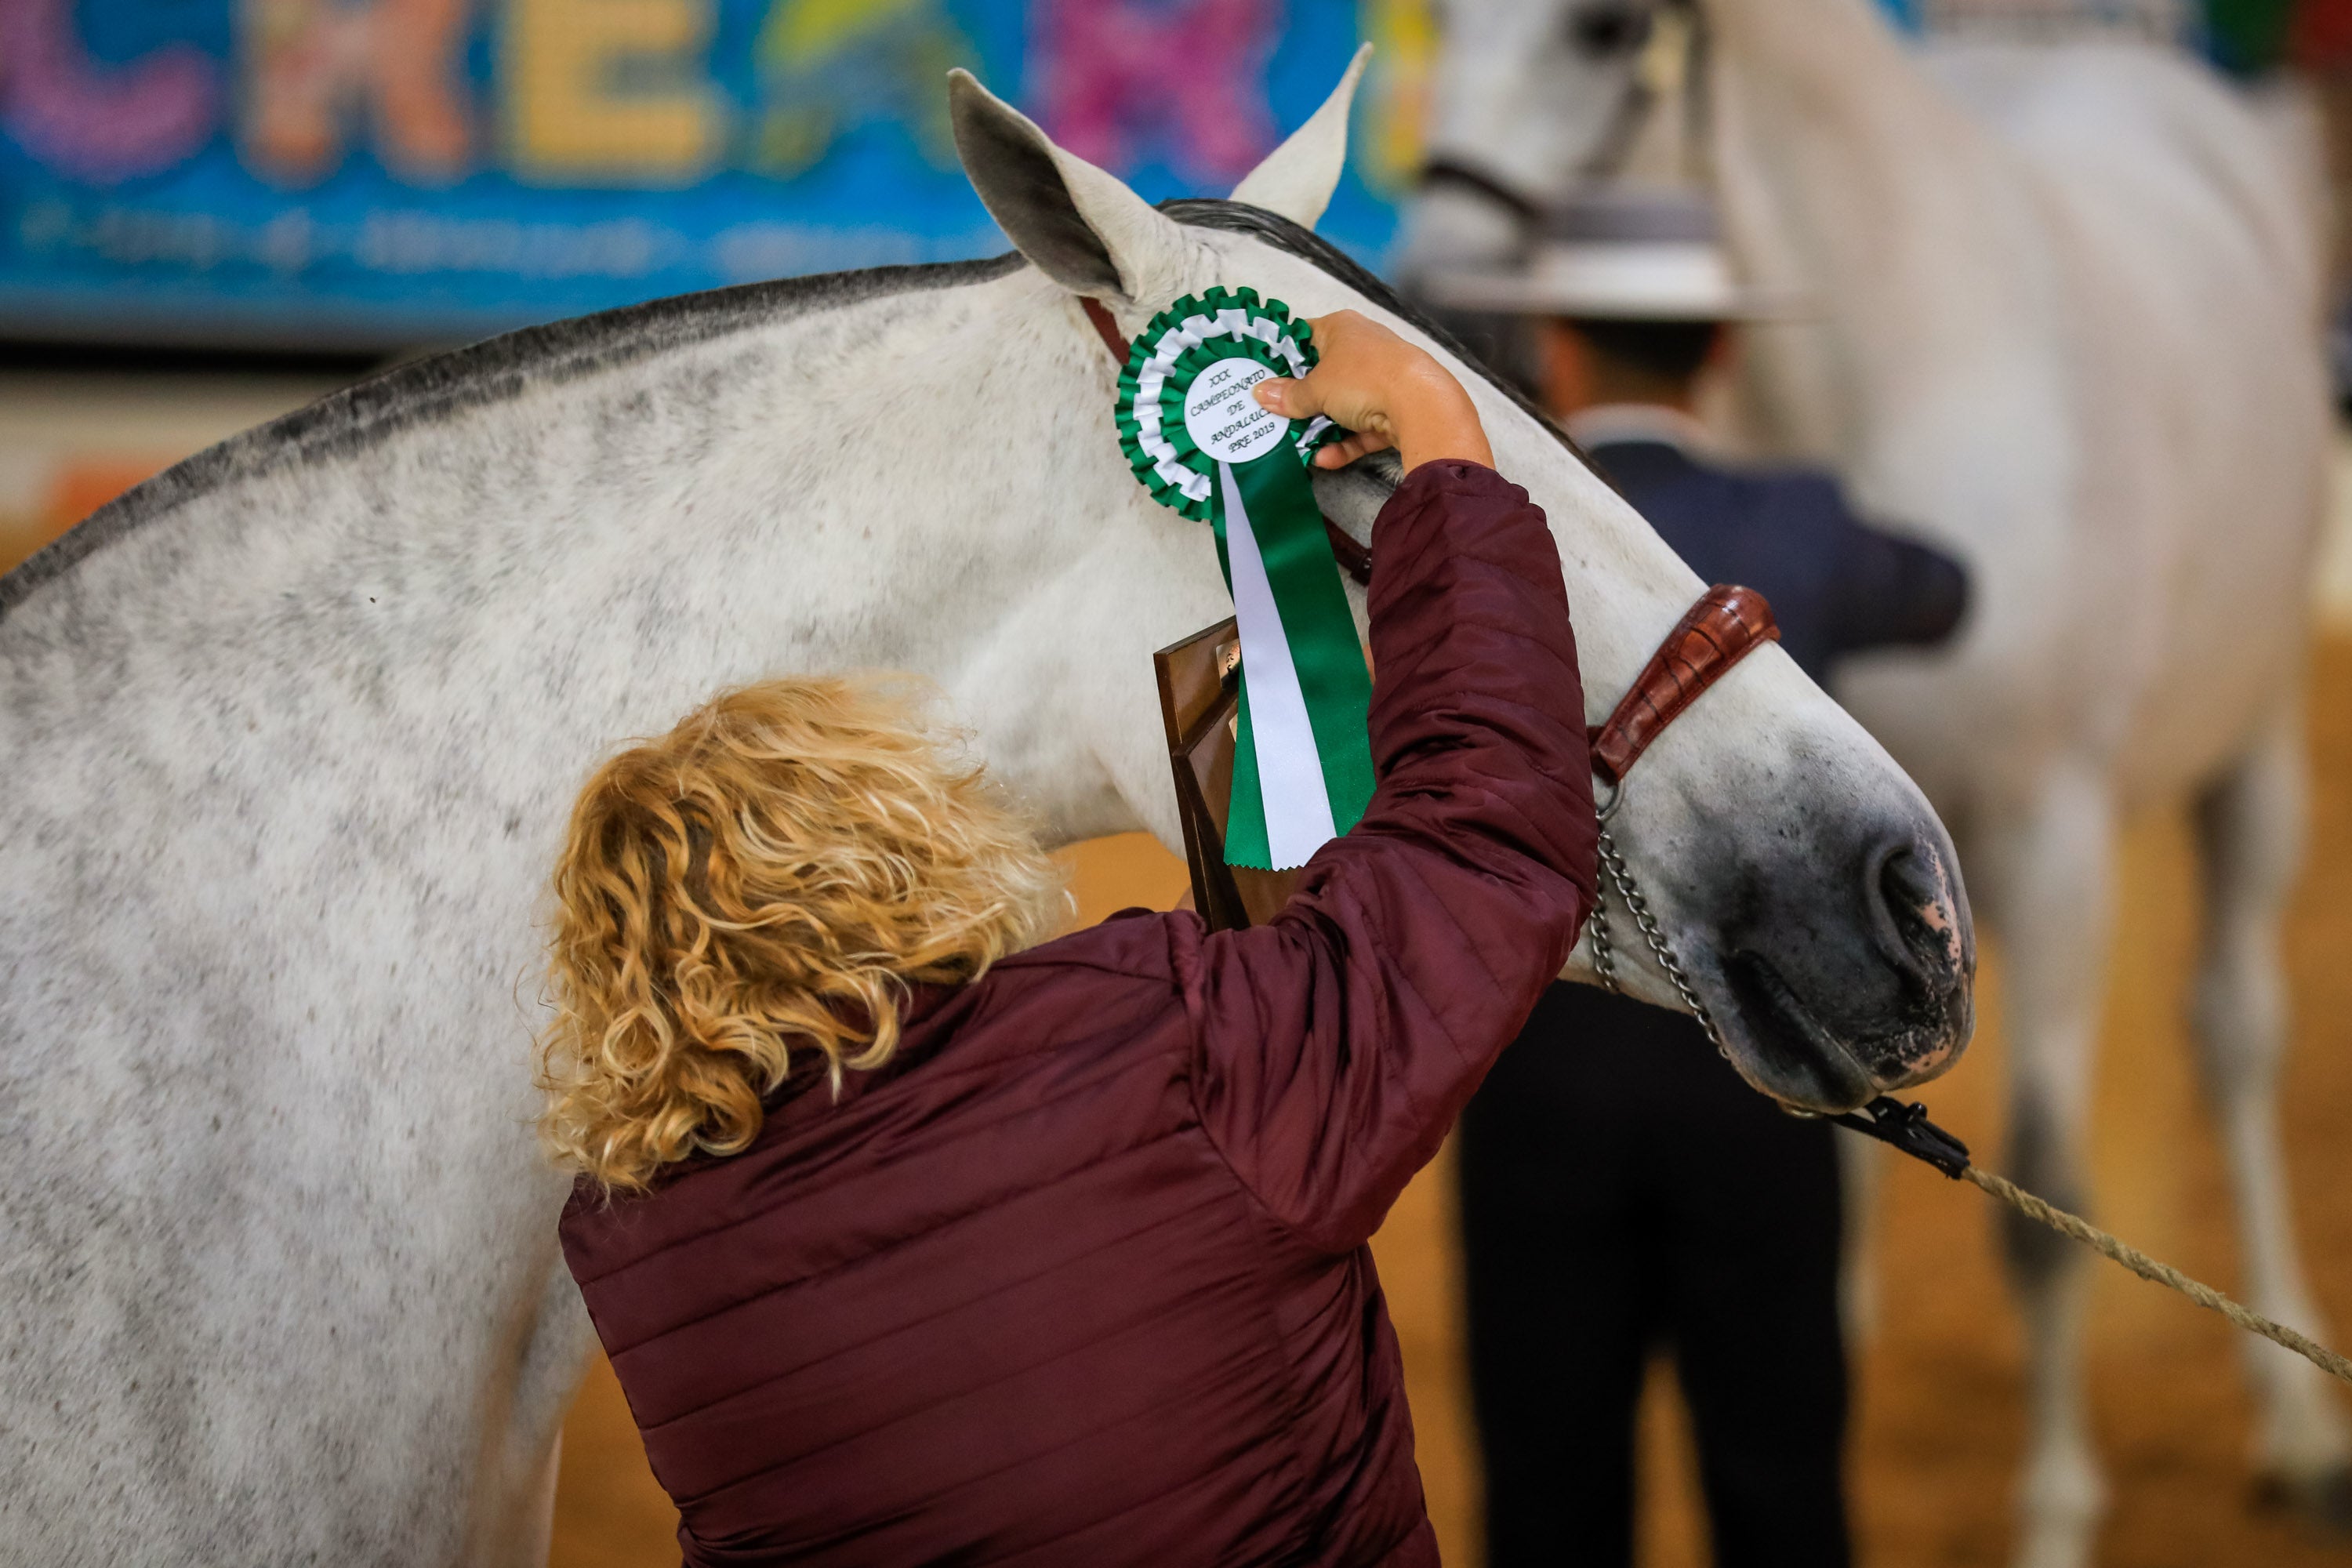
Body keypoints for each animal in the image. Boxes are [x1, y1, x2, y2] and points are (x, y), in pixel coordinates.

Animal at [1402, 5, 2343, 1561]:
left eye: (1605, 32)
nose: (1437, 305)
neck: (1901, 383)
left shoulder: (2043, 843)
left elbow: (2041, 1200)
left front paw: (2054, 1512)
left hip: (2250, 753)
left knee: (2235, 1036)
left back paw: (2303, 1429)